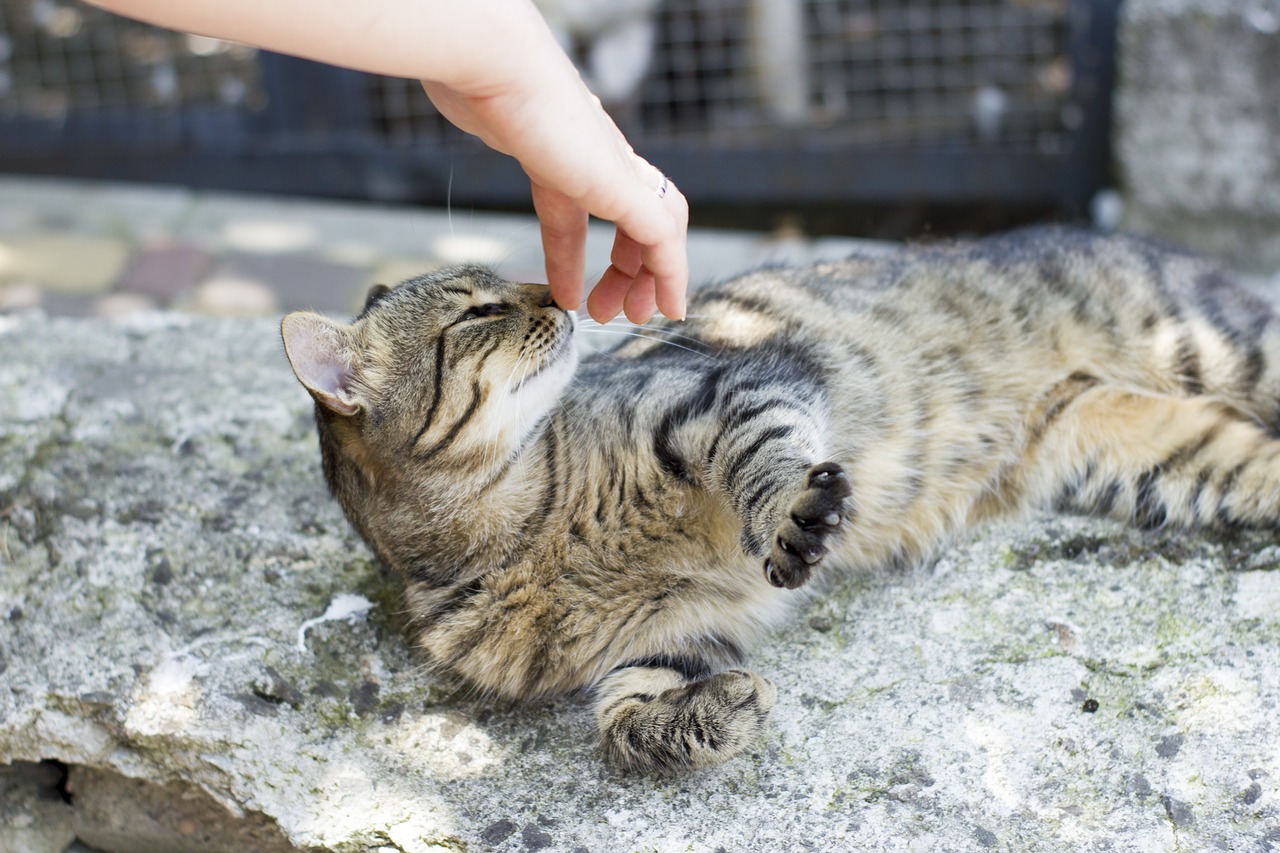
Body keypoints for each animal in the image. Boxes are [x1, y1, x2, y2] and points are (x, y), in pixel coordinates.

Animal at [280, 225, 1280, 768]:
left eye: (506, 287)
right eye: (476, 310)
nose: (558, 293)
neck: (534, 527)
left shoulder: (731, 387)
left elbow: (765, 462)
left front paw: (792, 519)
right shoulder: (670, 634)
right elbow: (619, 719)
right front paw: (709, 717)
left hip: (1221, 351)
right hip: (1154, 454)